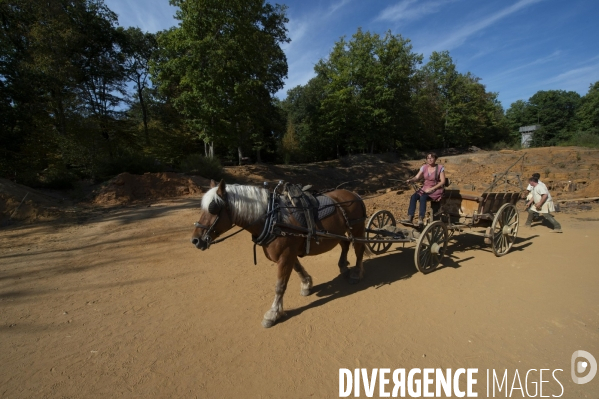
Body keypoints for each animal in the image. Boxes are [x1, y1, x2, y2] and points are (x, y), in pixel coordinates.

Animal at [190, 180, 368, 328]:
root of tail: (355, 195)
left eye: (214, 208)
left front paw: (273, 313)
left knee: (359, 249)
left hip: (357, 229)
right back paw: (343, 266)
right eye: (203, 208)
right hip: (340, 232)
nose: (196, 240)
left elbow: (280, 286)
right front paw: (307, 283)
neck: (273, 219)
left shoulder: (285, 255)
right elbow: (297, 268)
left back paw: (356, 273)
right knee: (345, 244)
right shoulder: (289, 253)